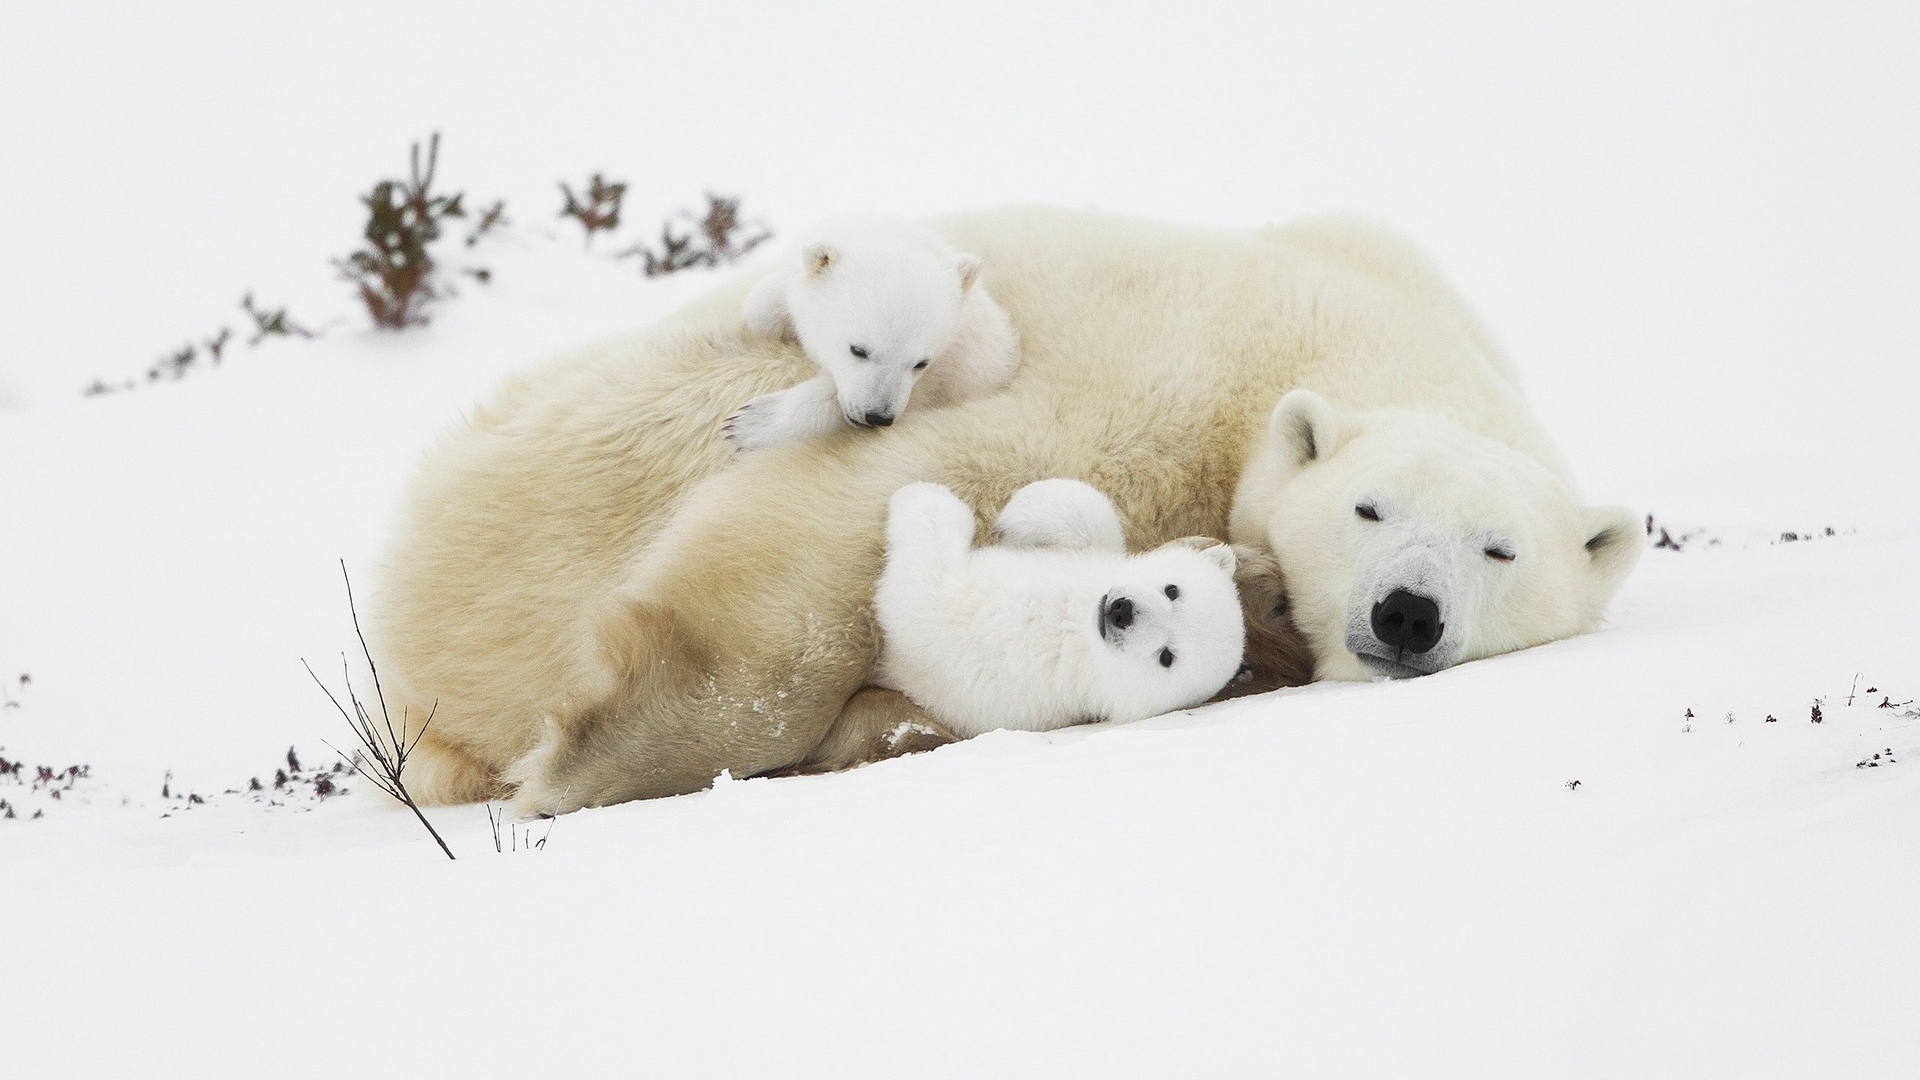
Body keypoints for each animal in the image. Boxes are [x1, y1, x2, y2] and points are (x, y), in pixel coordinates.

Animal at [723, 217, 1021, 451]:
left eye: (921, 363)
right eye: (858, 350)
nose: (878, 416)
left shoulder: (967, 362)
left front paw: (748, 424)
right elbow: (760, 307)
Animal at [874, 480, 1246, 738]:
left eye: (1167, 656)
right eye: (1172, 590)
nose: (1121, 611)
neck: (1074, 621)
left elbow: (920, 591)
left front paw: (921, 495)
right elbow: (1092, 516)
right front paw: (1017, 514)